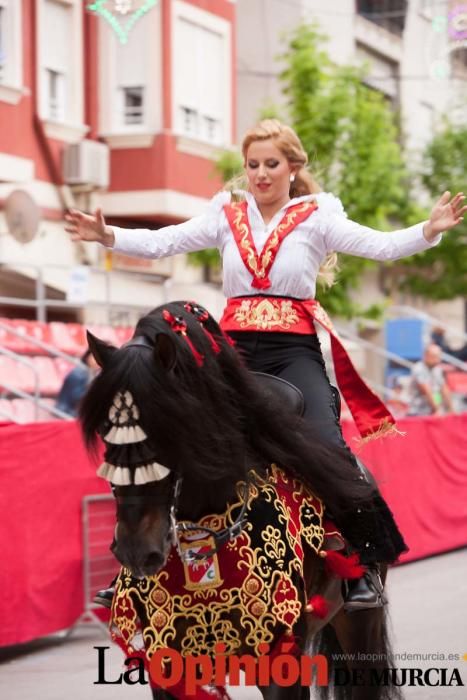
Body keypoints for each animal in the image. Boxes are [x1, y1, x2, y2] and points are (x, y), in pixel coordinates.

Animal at [79, 300, 402, 700]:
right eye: (105, 430)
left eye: (169, 425)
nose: (137, 551)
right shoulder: (170, 664)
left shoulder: (281, 662)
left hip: (359, 625)